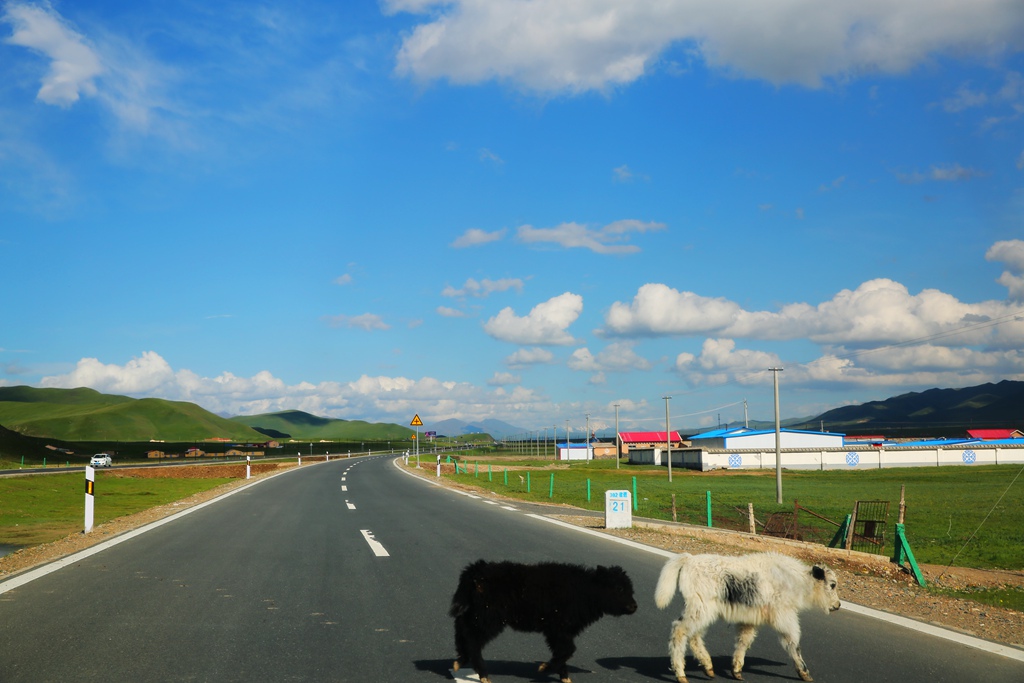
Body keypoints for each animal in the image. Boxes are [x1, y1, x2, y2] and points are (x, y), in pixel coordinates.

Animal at [452, 561, 634, 683]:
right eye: (619, 588)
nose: (634, 606)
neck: (585, 590)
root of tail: (476, 570)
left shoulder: (557, 633)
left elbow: (562, 652)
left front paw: (564, 677)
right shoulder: (558, 630)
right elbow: (568, 650)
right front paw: (545, 668)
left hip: (475, 616)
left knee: (462, 632)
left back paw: (459, 662)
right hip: (488, 619)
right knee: (473, 641)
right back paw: (483, 675)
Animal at [655, 552, 839, 679]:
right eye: (832, 584)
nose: (837, 605)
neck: (794, 580)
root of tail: (689, 560)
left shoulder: (750, 620)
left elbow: (744, 641)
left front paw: (736, 671)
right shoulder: (784, 617)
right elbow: (793, 642)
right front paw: (805, 673)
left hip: (702, 613)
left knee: (694, 637)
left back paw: (708, 668)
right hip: (700, 610)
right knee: (679, 630)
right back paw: (681, 674)